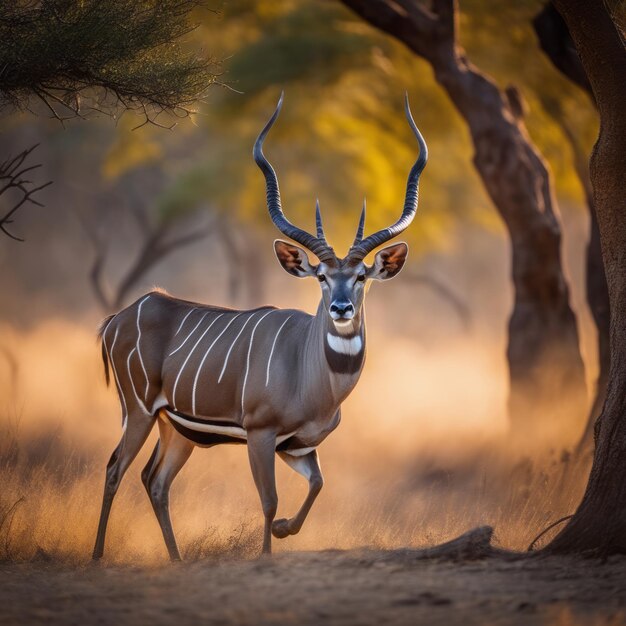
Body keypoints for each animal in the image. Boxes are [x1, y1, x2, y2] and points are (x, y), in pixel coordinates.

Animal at [91, 91, 424, 556]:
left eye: (361, 276)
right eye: (322, 276)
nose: (341, 309)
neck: (311, 373)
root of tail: (121, 317)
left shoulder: (298, 447)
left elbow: (318, 484)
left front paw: (286, 529)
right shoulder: (260, 435)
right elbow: (269, 500)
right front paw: (268, 550)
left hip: (177, 430)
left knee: (154, 481)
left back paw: (176, 559)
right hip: (138, 412)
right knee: (115, 469)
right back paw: (97, 557)